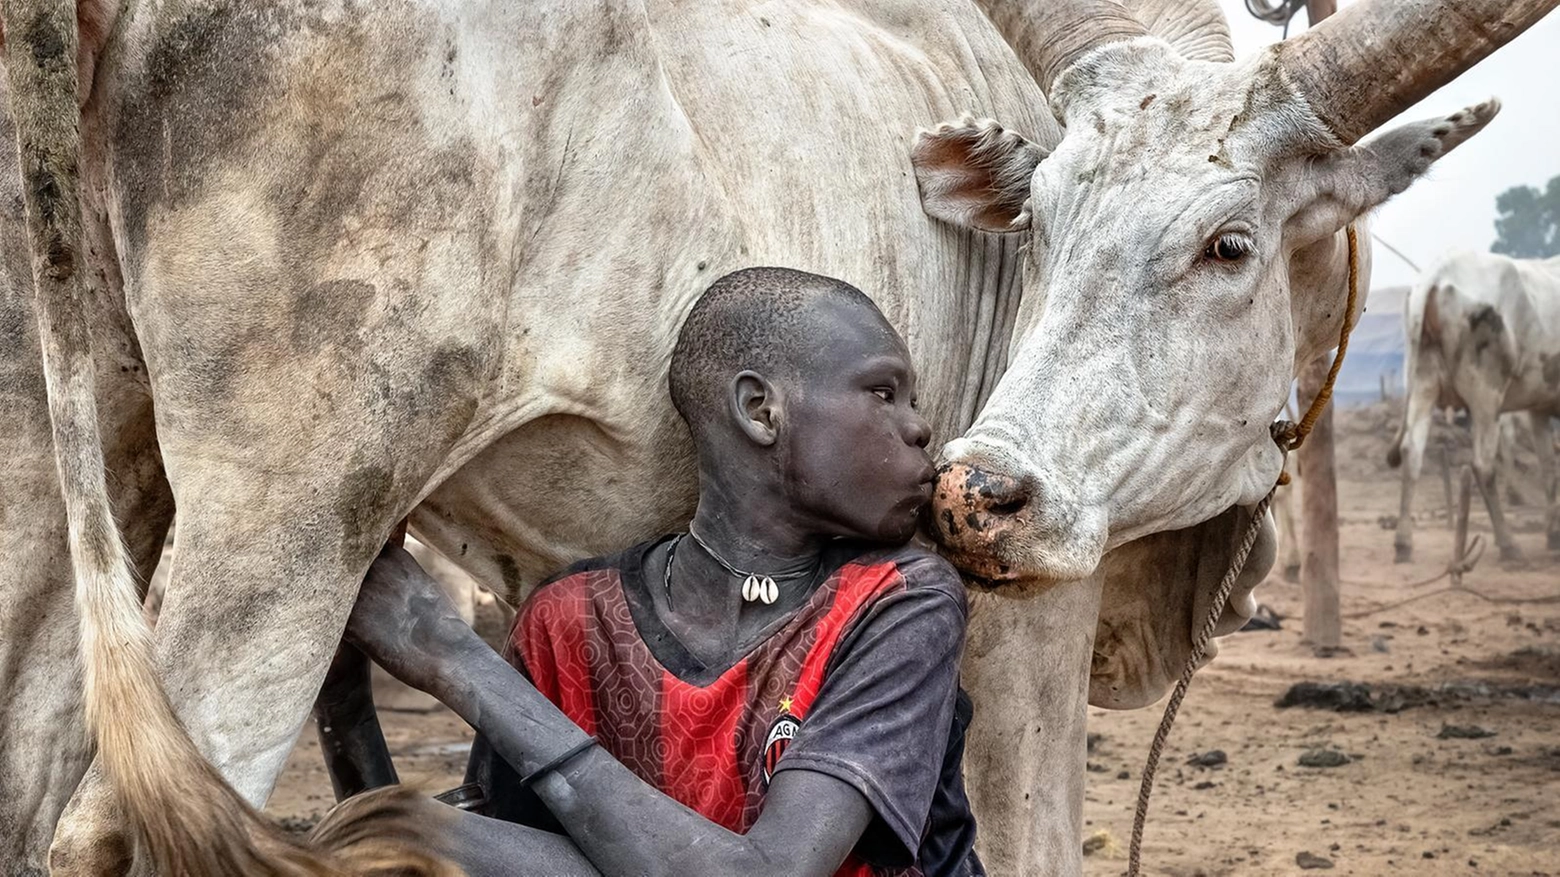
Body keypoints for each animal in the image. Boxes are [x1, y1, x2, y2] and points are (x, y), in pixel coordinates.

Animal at [1391, 248, 1560, 558]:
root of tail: (1437, 274)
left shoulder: (1538, 408)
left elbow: (1548, 467)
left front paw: (1553, 533)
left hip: (1423, 385)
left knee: (1412, 453)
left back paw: (1403, 543)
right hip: (1486, 395)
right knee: (1483, 465)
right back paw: (1508, 544)